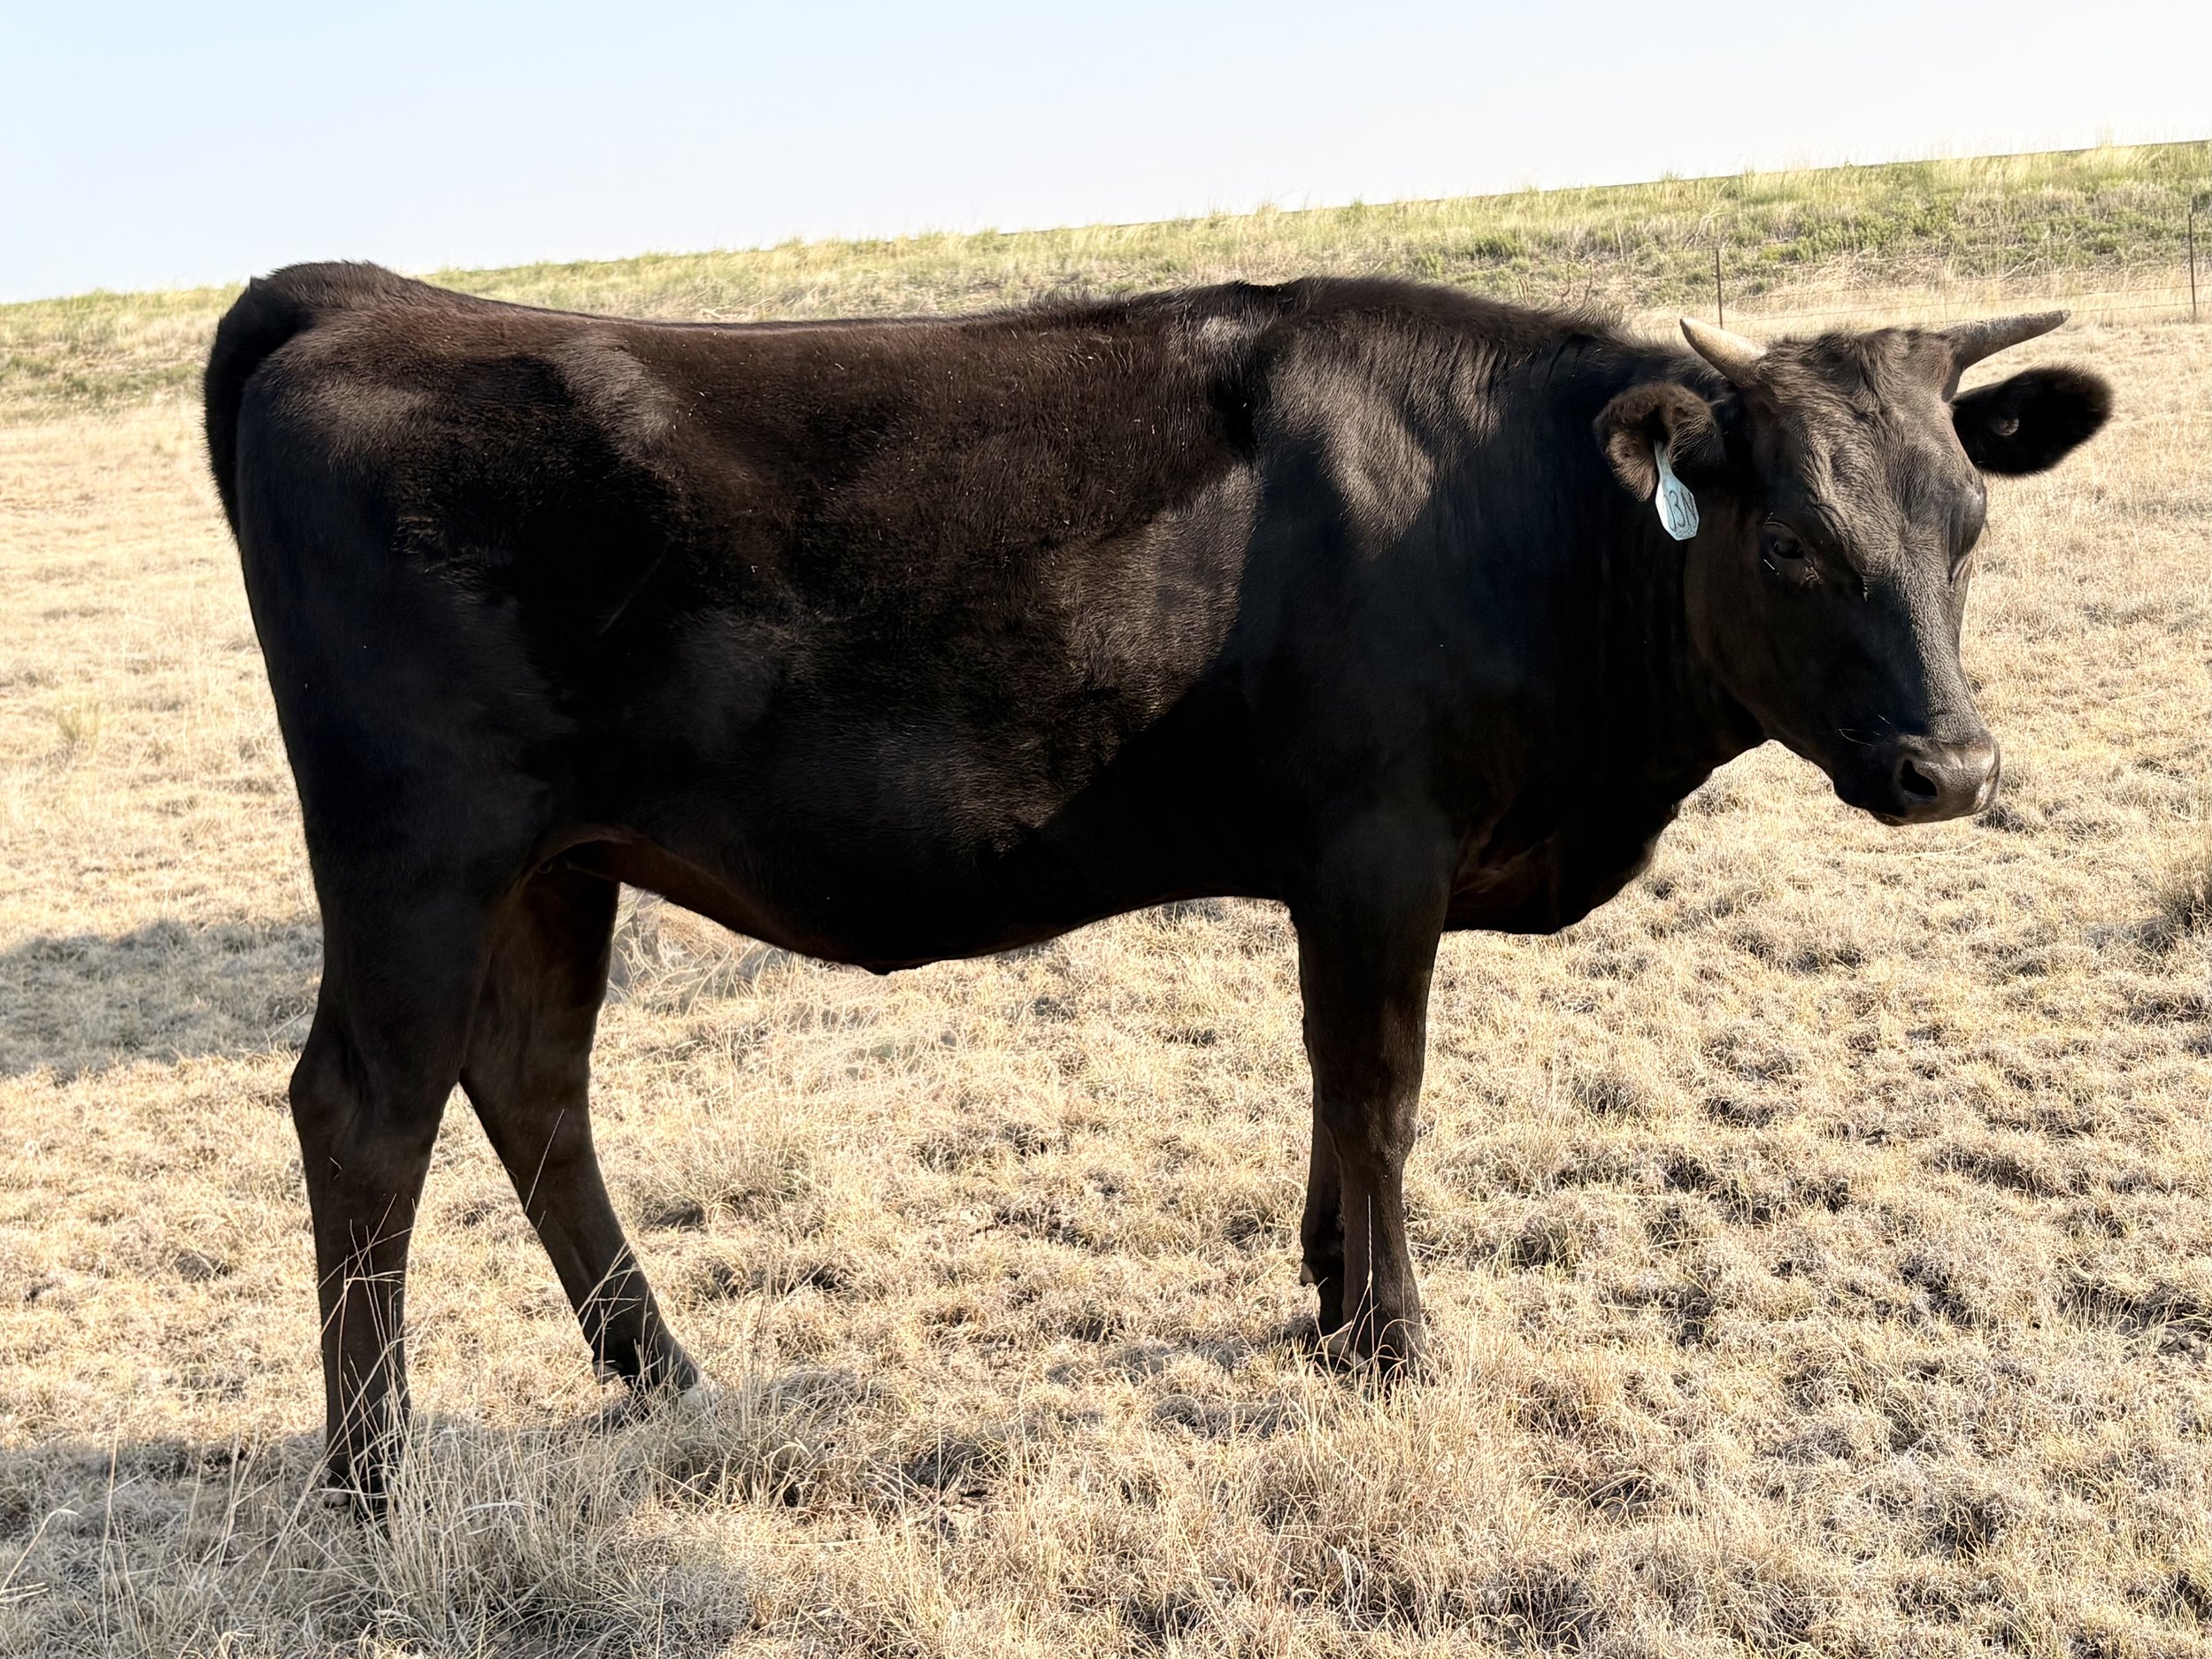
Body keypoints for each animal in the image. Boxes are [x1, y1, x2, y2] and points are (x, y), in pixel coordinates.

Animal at [203, 263, 2109, 1501]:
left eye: (1967, 527)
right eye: (1788, 541)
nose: (1951, 769)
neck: (1507, 510)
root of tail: (369, 298)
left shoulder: (1332, 874)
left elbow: (1332, 1097)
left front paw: (1329, 1296)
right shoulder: (1376, 844)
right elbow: (1380, 1090)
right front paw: (1391, 1342)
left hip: (554, 864)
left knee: (531, 1087)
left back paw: (660, 1375)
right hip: (417, 854)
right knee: (362, 1112)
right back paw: (371, 1475)